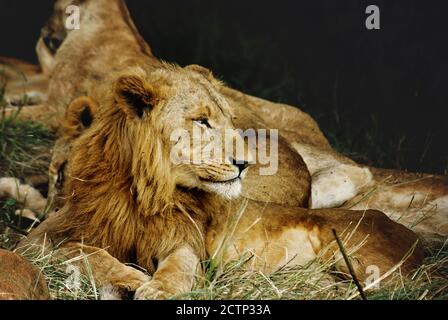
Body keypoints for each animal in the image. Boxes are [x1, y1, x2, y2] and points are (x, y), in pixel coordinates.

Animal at [18, 65, 424, 300]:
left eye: (230, 119)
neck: (147, 192)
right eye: (202, 121)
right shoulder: (42, 238)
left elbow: (179, 268)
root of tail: (416, 239)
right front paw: (130, 277)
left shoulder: (185, 240)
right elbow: (83, 252)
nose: (245, 163)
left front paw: (158, 289)